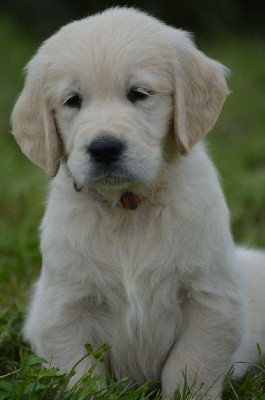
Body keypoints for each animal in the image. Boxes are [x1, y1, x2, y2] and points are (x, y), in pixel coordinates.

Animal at [10, 7, 264, 400]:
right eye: (72, 100)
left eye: (139, 93)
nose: (104, 148)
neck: (128, 209)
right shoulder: (63, 308)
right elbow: (80, 374)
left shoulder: (210, 300)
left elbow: (191, 365)